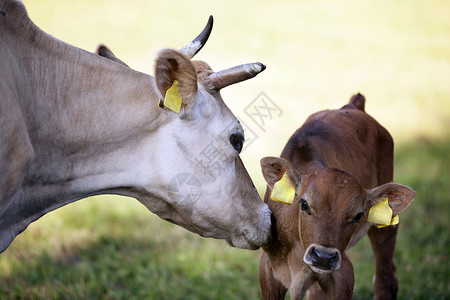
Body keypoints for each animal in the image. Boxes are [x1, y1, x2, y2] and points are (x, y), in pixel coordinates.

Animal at [260, 94, 414, 300]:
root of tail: (354, 105)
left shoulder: (344, 273)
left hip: (385, 225)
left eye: (358, 216)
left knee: (385, 280)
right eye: (304, 204)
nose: (324, 256)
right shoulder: (268, 269)